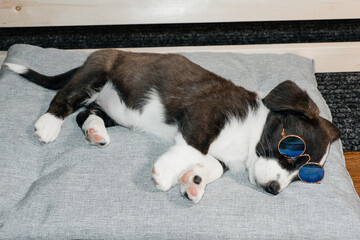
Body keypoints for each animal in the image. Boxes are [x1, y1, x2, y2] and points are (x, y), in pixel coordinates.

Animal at [4, 49, 340, 203]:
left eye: (304, 177)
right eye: (292, 148)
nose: (274, 191)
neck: (250, 134)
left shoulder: (221, 156)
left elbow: (211, 166)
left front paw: (194, 181)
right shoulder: (205, 115)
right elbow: (192, 147)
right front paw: (165, 174)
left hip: (113, 110)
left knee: (85, 114)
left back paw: (95, 131)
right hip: (95, 76)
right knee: (66, 98)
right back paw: (48, 125)